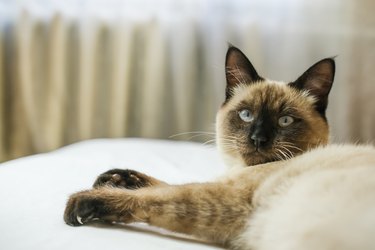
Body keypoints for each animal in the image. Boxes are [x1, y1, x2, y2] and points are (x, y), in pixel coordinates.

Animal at [64, 46, 375, 249]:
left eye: (285, 120)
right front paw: (116, 178)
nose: (258, 138)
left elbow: (158, 195)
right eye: (246, 115)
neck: (238, 168)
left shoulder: (227, 201)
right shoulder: (225, 189)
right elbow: (159, 184)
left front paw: (85, 200)